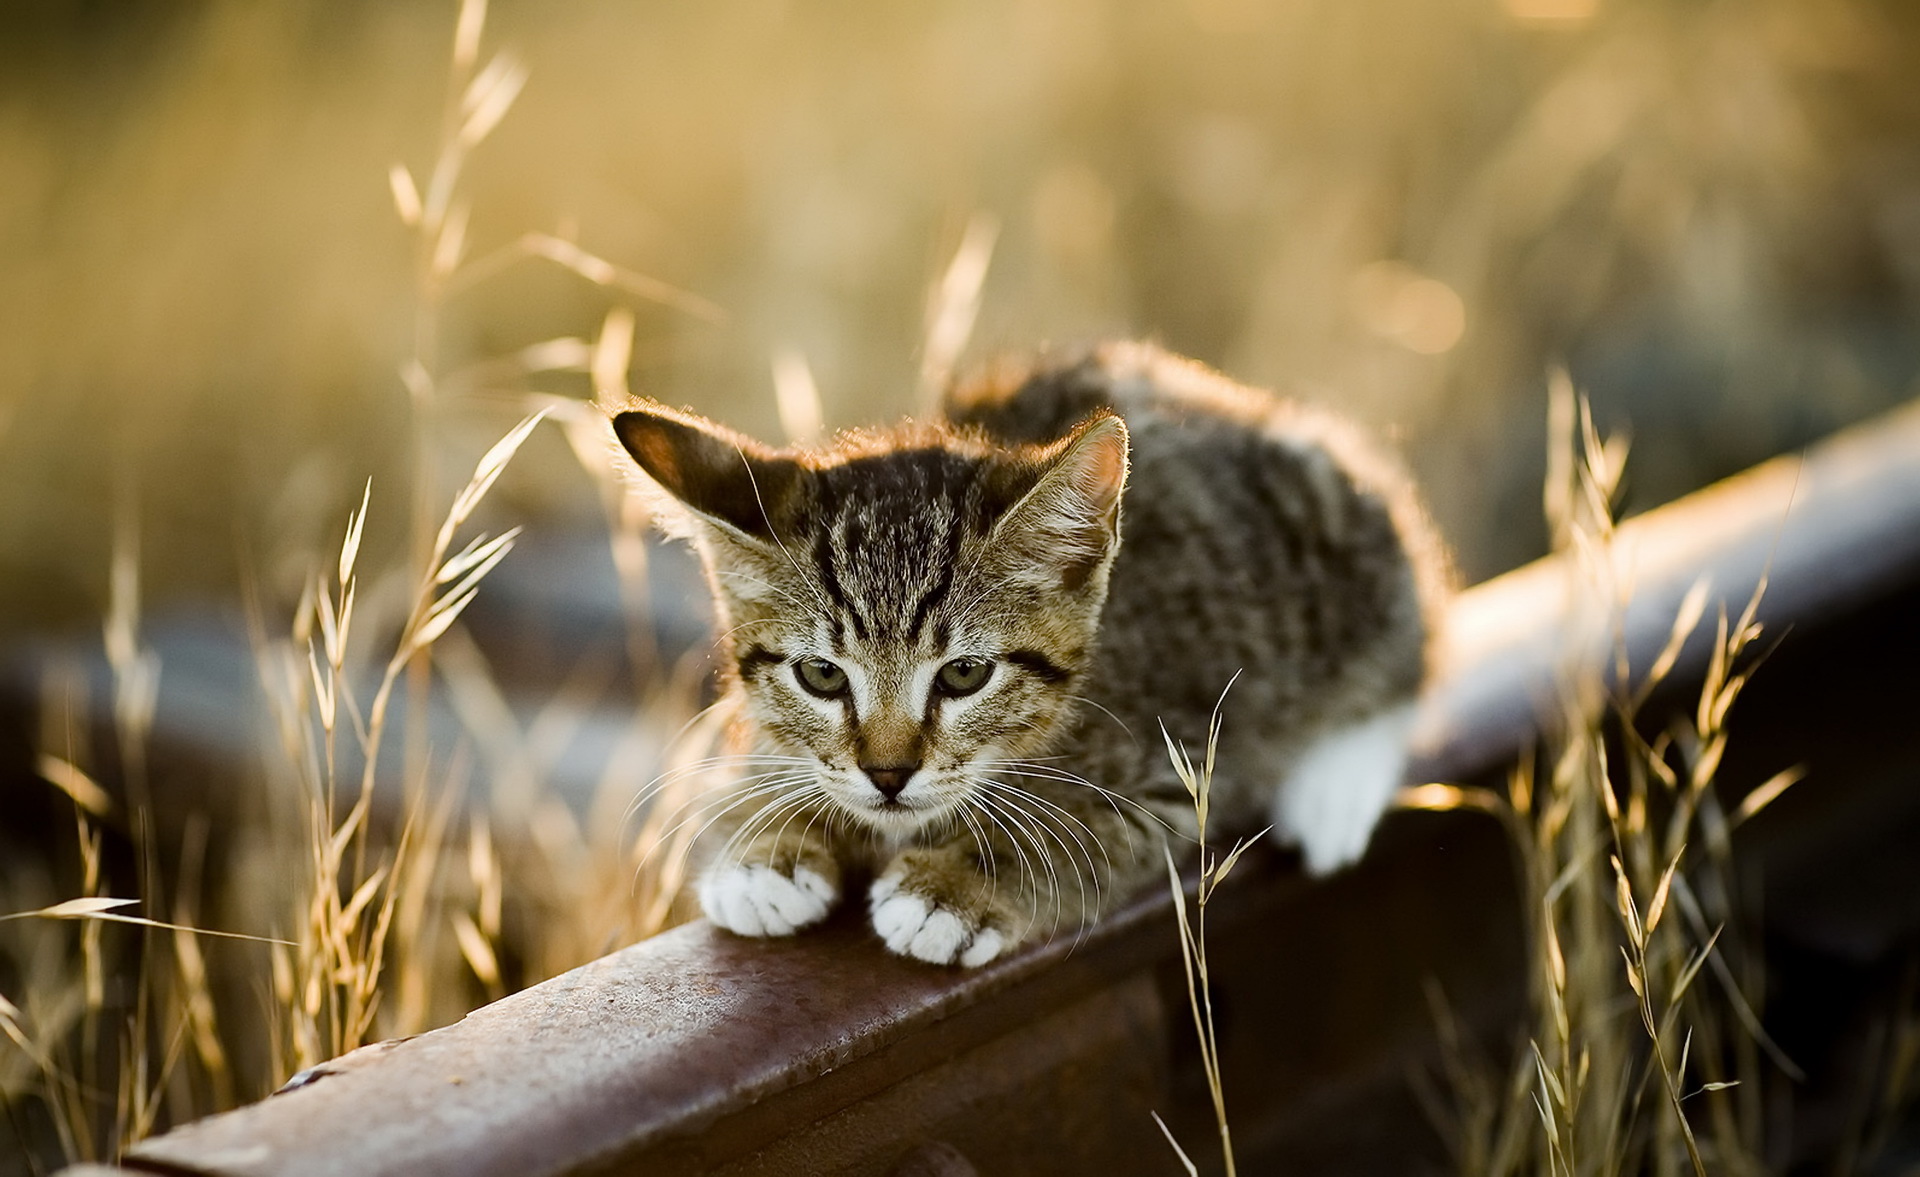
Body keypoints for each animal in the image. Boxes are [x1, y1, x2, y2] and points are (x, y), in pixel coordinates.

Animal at [610, 339, 1443, 963]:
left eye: (965, 673)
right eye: (820, 674)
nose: (887, 773)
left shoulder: (1184, 762)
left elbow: (1073, 823)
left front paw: (955, 886)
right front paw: (761, 839)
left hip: (1335, 537)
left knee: (1408, 640)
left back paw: (1335, 790)